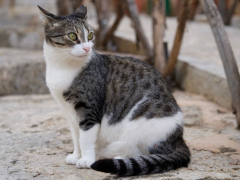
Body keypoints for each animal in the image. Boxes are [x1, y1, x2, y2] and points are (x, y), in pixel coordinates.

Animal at [38, 4, 190, 176]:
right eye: (72, 36)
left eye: (90, 36)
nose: (86, 48)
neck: (62, 67)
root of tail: (178, 136)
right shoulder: (70, 113)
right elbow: (76, 137)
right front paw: (76, 155)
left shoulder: (89, 110)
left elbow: (85, 138)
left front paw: (86, 159)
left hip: (139, 126)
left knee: (144, 151)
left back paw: (117, 159)